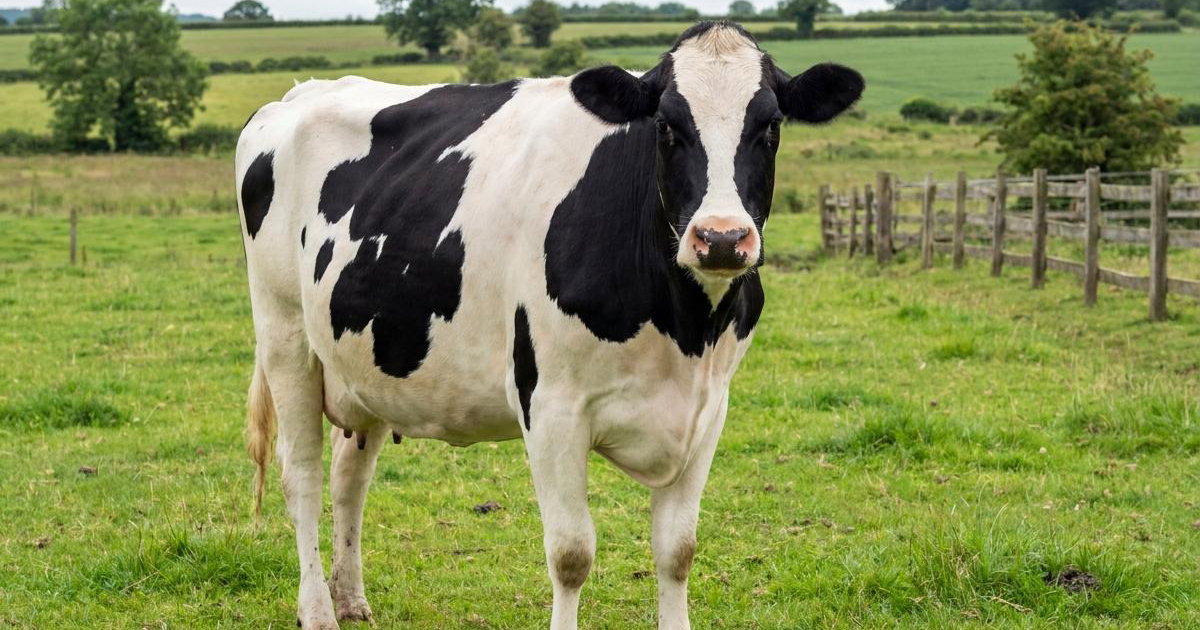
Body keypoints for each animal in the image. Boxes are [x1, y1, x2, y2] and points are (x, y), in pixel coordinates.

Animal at [236, 21, 862, 630]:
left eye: (771, 125)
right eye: (666, 125)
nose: (723, 238)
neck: (683, 328)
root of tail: (296, 94)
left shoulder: (707, 409)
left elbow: (678, 550)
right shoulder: (550, 404)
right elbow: (571, 554)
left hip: (362, 366)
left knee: (349, 478)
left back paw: (350, 599)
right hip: (285, 334)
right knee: (303, 475)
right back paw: (319, 612)